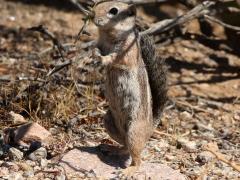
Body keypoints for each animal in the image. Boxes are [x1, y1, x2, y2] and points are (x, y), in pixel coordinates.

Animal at [93, 0, 168, 174]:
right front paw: (93, 52)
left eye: (114, 11)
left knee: (137, 159)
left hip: (134, 132)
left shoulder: (128, 52)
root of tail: (150, 129)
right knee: (125, 147)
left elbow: (116, 59)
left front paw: (102, 59)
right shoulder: (101, 42)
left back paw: (128, 171)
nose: (93, 15)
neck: (109, 35)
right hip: (109, 121)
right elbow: (97, 47)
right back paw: (111, 148)